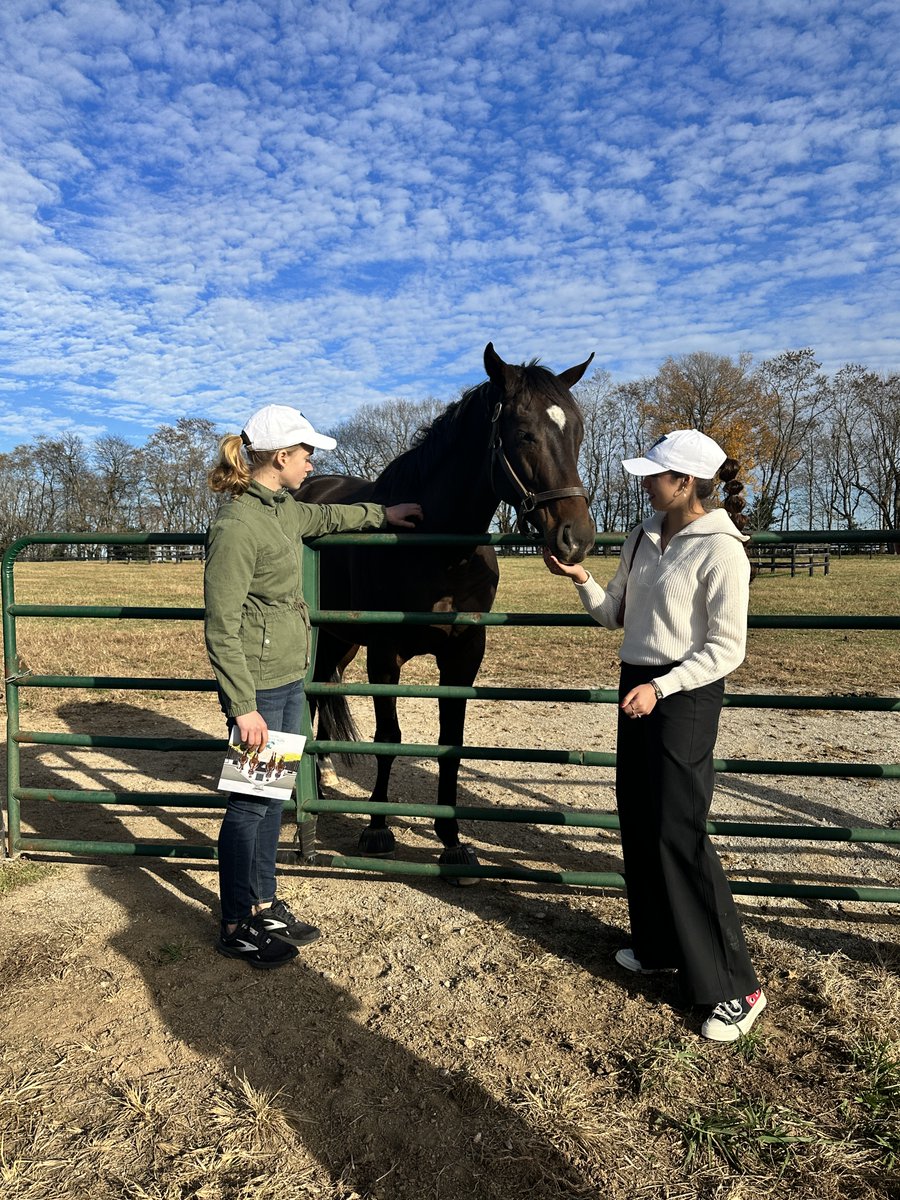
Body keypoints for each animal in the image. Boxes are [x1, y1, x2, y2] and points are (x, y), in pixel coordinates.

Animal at [294, 342, 595, 875]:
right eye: (524, 432)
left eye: (577, 432)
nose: (575, 539)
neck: (439, 550)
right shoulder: (385, 655)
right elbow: (389, 737)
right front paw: (377, 829)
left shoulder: (464, 655)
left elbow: (451, 743)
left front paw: (453, 840)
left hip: (341, 641)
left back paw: (324, 776)